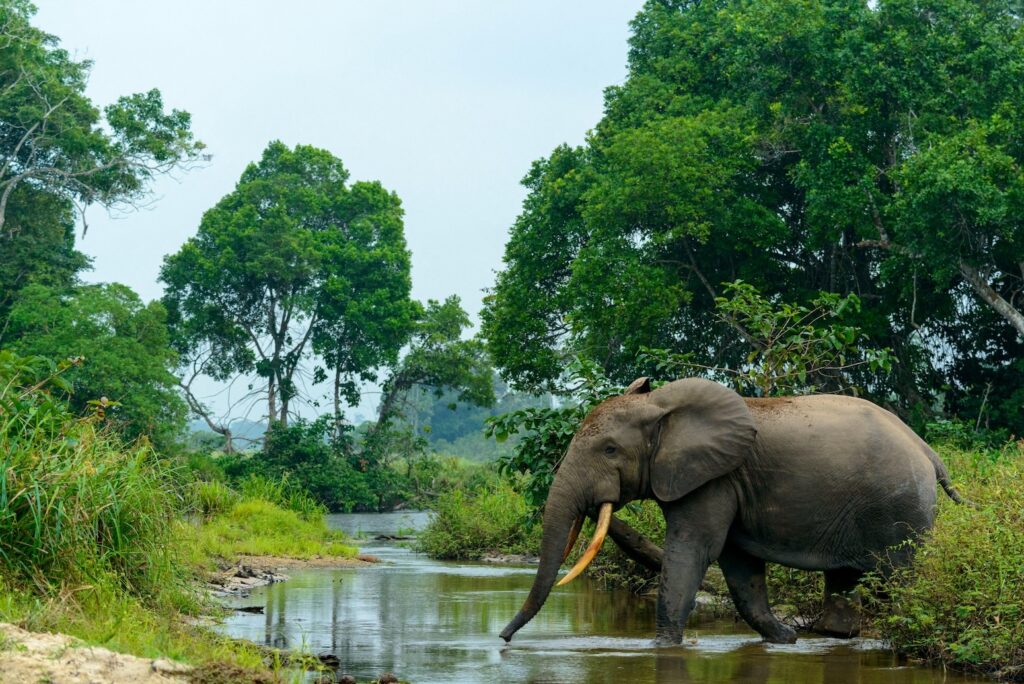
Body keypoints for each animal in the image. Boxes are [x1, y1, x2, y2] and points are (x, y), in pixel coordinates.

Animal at [500, 377, 963, 645]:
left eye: (610, 450)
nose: (503, 640)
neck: (661, 405)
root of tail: (927, 449)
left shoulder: (713, 478)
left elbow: (695, 549)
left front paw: (661, 647)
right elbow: (739, 565)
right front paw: (785, 640)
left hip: (899, 506)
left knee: (901, 576)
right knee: (845, 578)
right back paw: (832, 636)